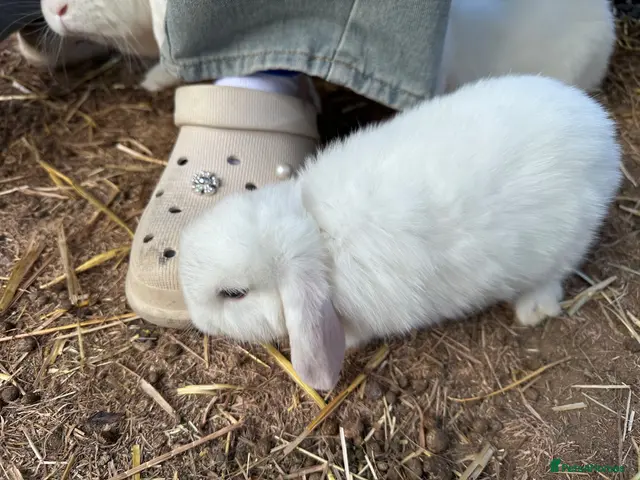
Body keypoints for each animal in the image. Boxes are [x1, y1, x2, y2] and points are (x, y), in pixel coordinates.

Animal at [178, 74, 622, 391]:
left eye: (234, 294)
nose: (195, 318)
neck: (317, 235)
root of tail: (602, 133)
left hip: (564, 244)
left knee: (554, 276)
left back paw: (533, 309)